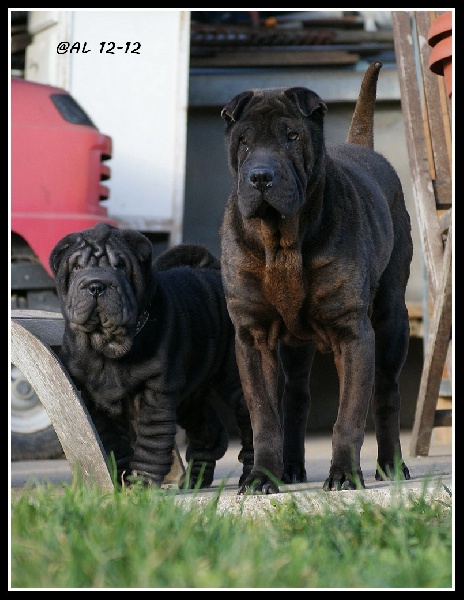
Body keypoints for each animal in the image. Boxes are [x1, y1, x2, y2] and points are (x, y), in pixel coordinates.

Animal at [49, 223, 254, 488]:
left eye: (120, 266)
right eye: (76, 267)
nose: (96, 285)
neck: (107, 346)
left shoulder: (155, 393)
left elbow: (150, 444)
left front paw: (142, 486)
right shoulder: (93, 398)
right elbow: (112, 442)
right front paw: (122, 480)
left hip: (234, 381)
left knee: (251, 424)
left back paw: (253, 476)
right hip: (190, 399)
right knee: (209, 432)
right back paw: (195, 481)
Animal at [219, 61, 413, 494]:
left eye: (291, 137)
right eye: (244, 141)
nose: (260, 176)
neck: (282, 244)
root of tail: (364, 148)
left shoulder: (352, 333)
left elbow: (349, 417)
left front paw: (343, 474)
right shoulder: (253, 335)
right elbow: (264, 416)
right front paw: (261, 477)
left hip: (392, 319)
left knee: (387, 393)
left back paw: (391, 465)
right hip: (295, 346)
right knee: (295, 398)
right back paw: (290, 467)